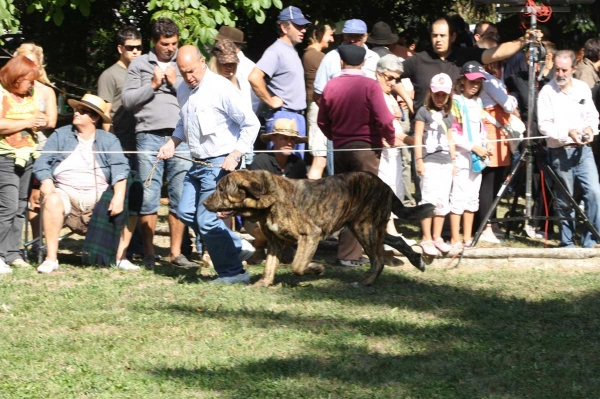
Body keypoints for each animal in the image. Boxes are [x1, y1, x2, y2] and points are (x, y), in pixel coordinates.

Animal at [204, 169, 434, 288]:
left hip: (364, 228)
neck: (269, 199)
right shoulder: (275, 242)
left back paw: (364, 282)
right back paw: (417, 260)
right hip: (368, 227)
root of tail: (384, 185)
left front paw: (316, 269)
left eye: (221, 189)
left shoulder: (310, 235)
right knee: (397, 240)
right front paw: (263, 283)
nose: (204, 202)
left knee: (378, 260)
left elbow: (297, 265)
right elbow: (270, 266)